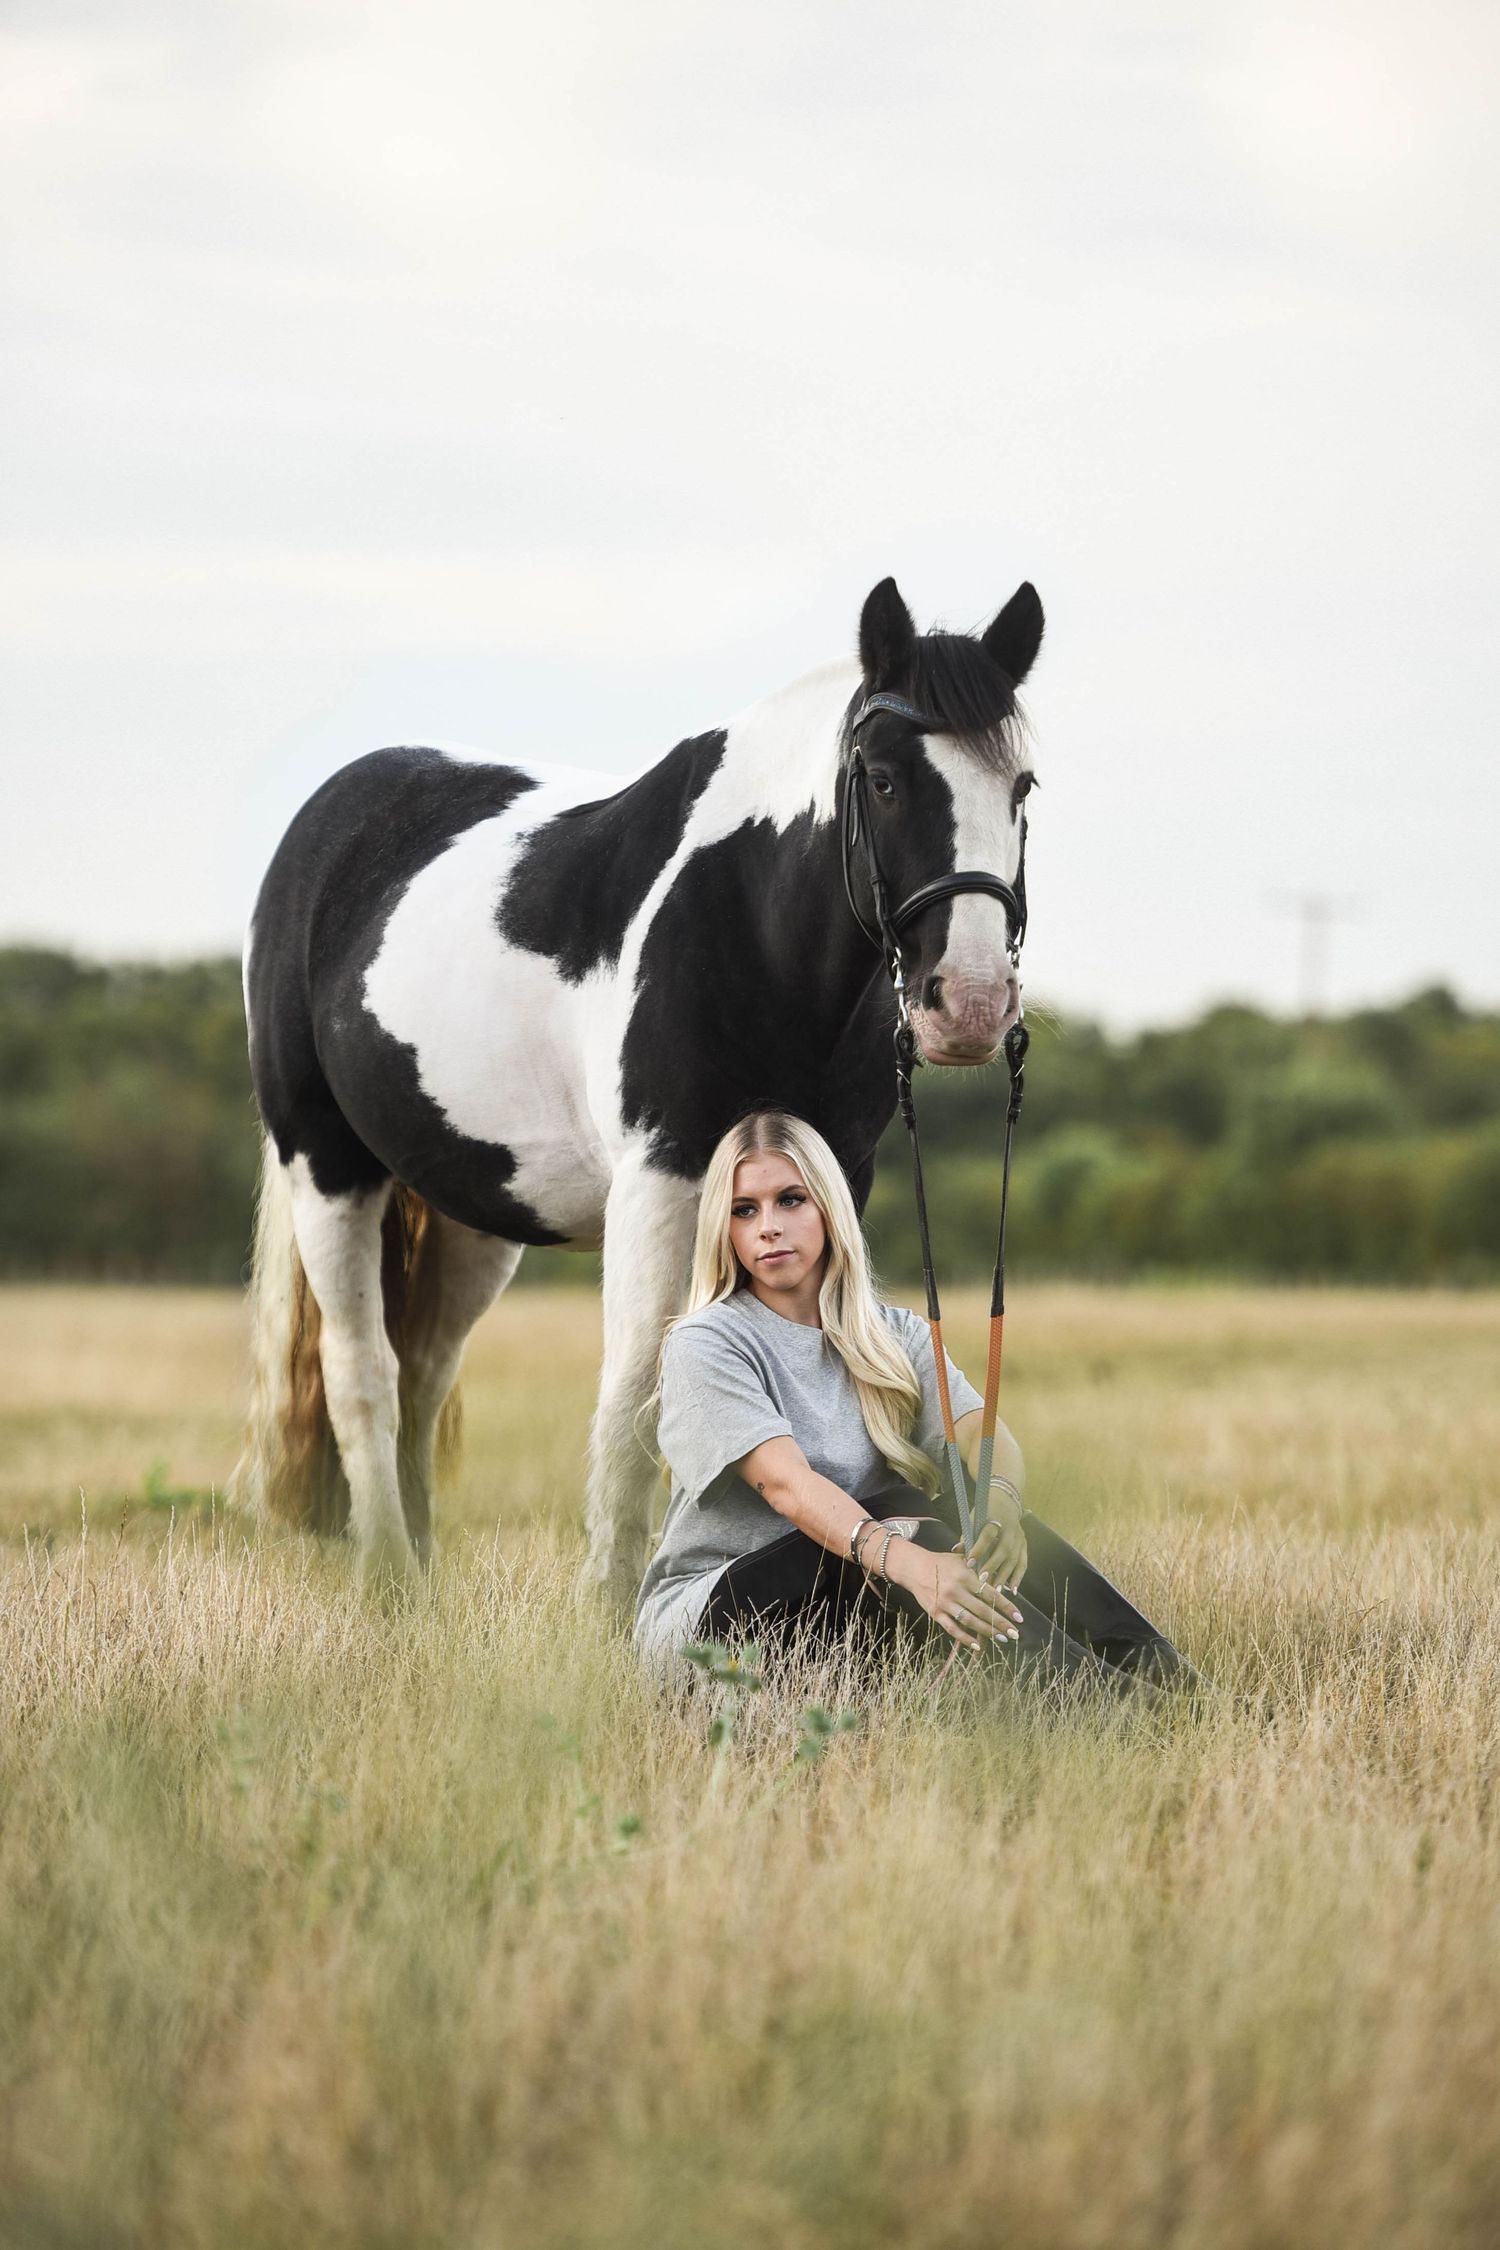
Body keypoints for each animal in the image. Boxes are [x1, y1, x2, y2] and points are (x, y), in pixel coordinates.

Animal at [228, 574, 1044, 1612]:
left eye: (1020, 786)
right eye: (886, 779)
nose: (970, 1004)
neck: (749, 917)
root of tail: (326, 827)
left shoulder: (832, 1176)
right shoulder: (661, 1179)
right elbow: (637, 1398)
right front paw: (609, 1610)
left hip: (472, 1215)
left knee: (422, 1372)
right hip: (327, 1168)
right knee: (361, 1369)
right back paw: (389, 1579)